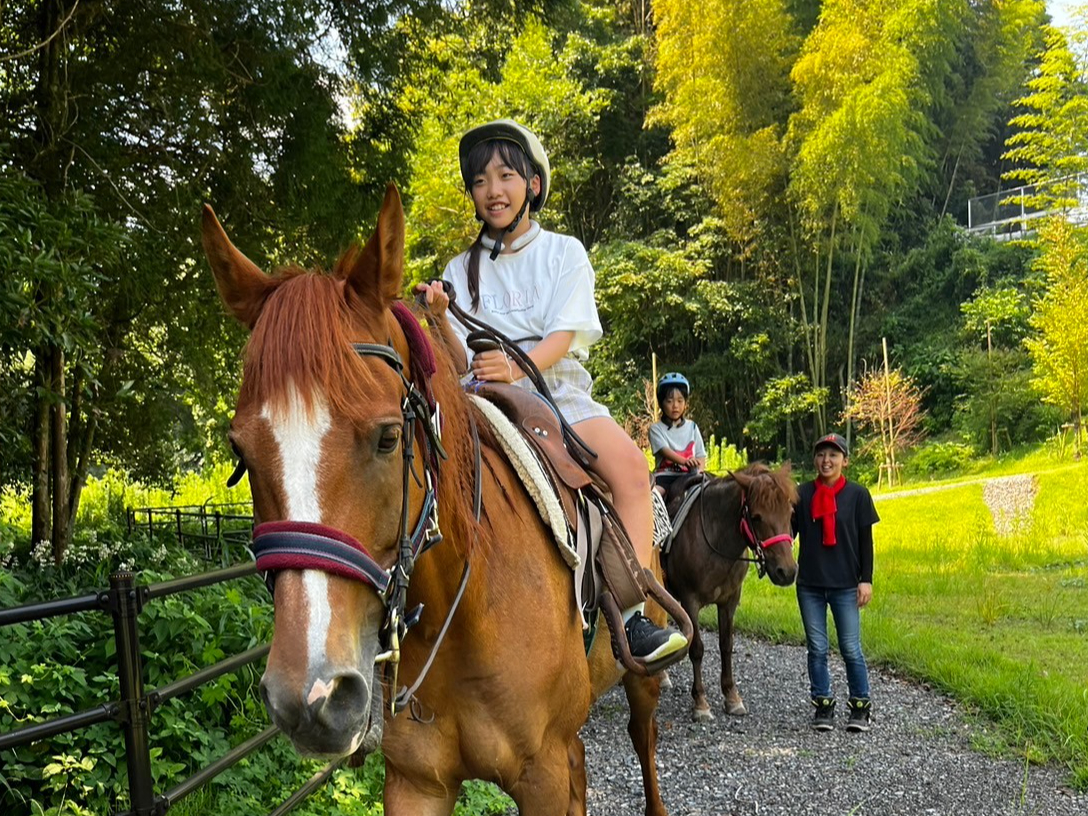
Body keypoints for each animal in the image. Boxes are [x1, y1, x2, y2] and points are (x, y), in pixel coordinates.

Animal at [202, 185, 676, 816]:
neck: (468, 607)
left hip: (641, 678)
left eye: (388, 437)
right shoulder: (416, 782)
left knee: (643, 738)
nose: (311, 698)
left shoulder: (544, 774)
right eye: (241, 449)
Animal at [661, 464, 798, 721]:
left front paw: (732, 697)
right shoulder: (690, 601)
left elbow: (726, 645)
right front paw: (701, 702)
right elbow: (697, 648)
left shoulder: (729, 601)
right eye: (756, 517)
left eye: (790, 513)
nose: (787, 572)